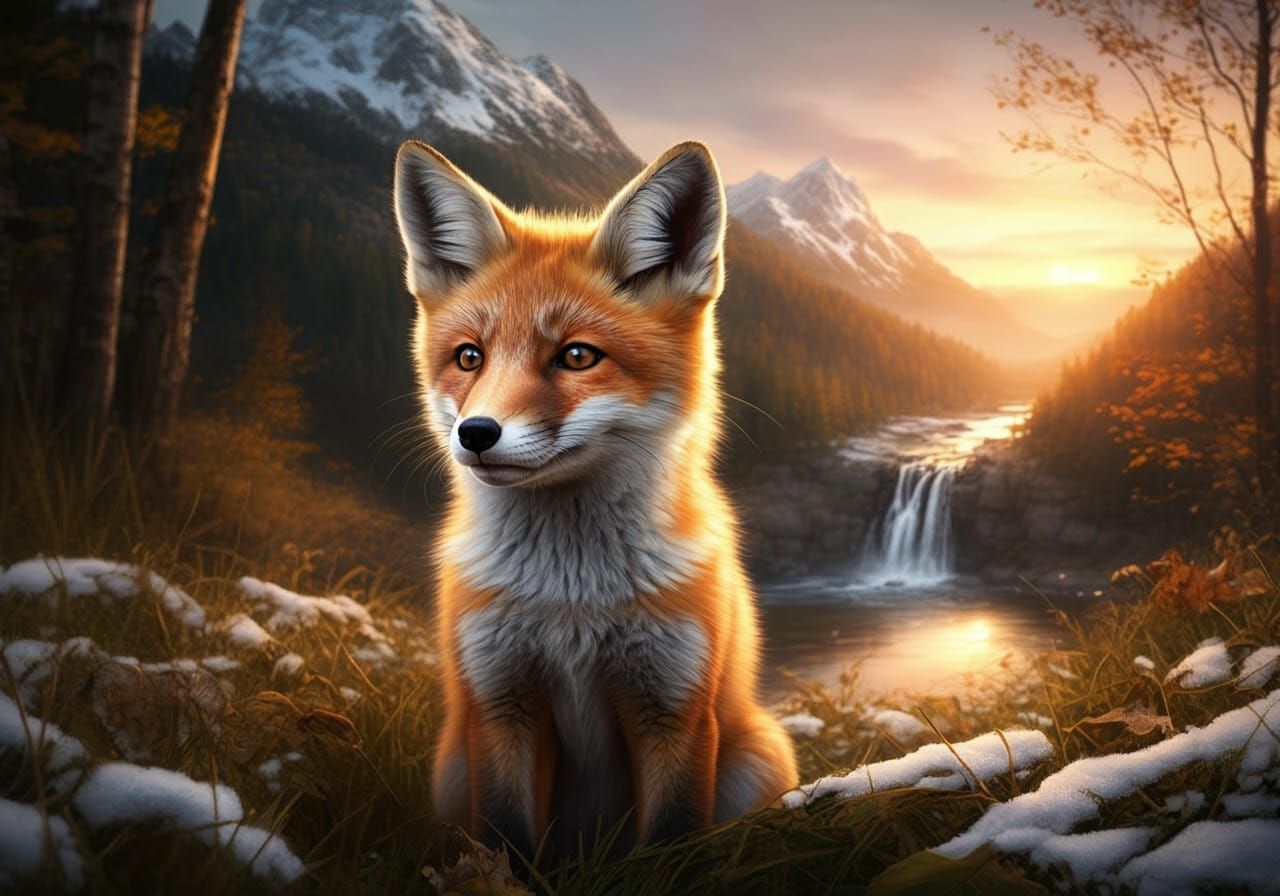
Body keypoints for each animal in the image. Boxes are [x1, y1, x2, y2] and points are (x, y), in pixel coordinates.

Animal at [392, 139, 798, 856]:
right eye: (469, 358)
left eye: (578, 356)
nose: (476, 433)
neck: (571, 599)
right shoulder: (499, 706)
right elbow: (505, 843)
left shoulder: (675, 710)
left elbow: (670, 843)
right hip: (450, 769)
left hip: (758, 752)